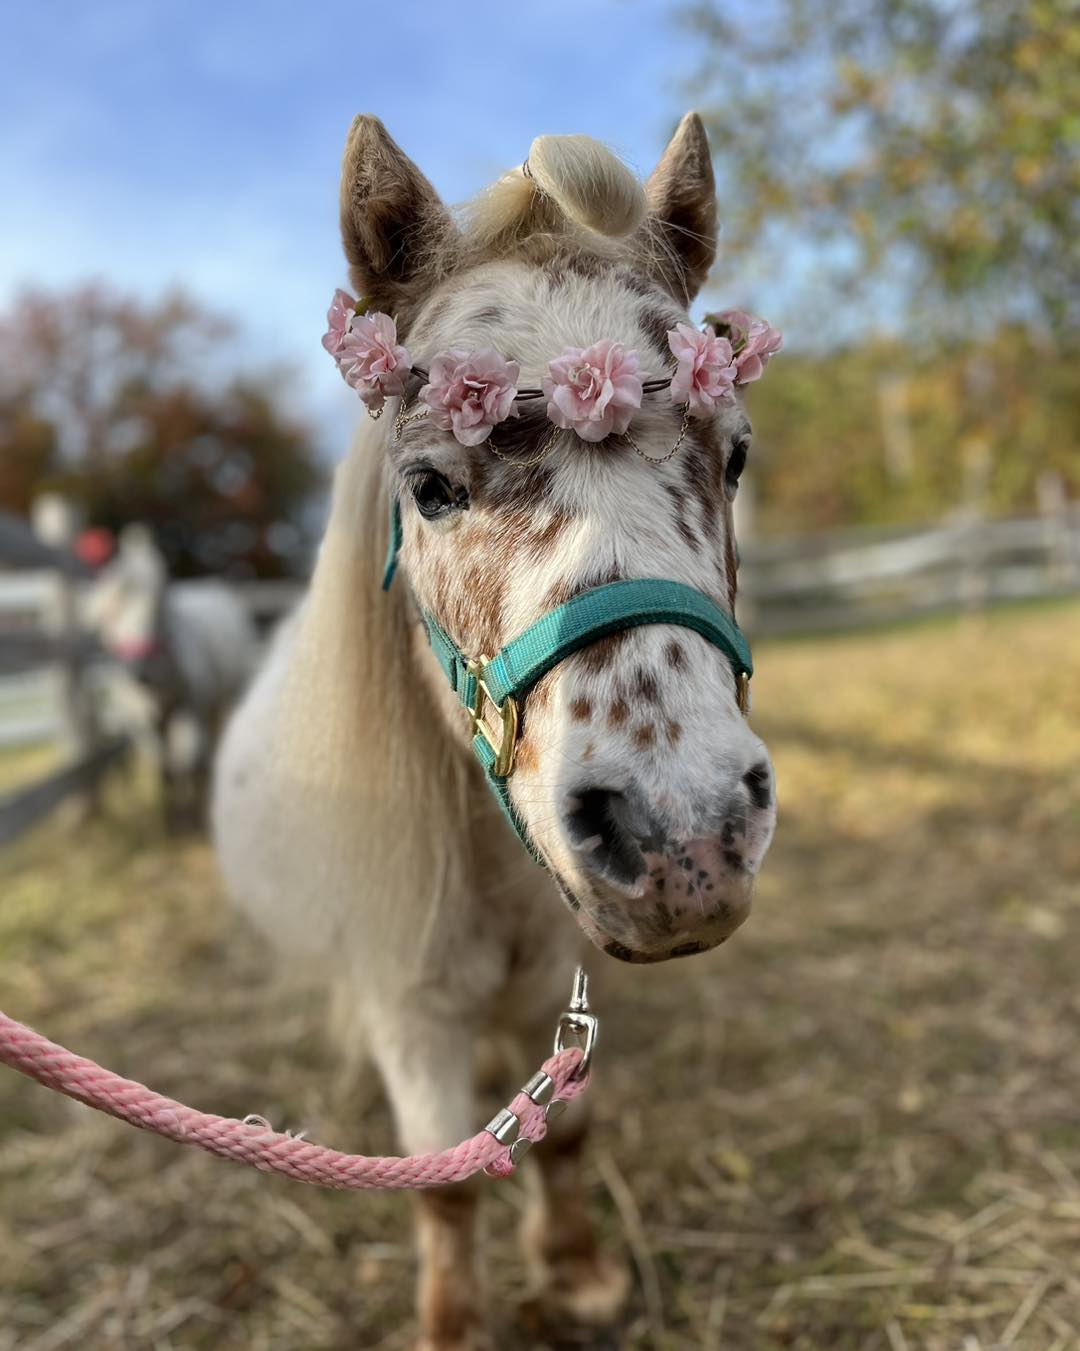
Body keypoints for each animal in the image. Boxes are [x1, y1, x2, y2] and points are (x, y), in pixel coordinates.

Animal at [87, 524, 258, 828]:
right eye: (116, 604)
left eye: (161, 601)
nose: (141, 669)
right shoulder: (141, 720)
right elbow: (165, 767)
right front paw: (172, 820)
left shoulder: (191, 706)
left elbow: (190, 759)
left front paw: (197, 812)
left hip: (226, 694)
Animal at [212, 112, 778, 1350]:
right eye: (430, 485)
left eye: (736, 454)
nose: (682, 834)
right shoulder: (411, 1003)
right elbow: (445, 1179)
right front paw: (456, 1322)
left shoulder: (563, 976)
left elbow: (564, 1128)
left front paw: (577, 1271)